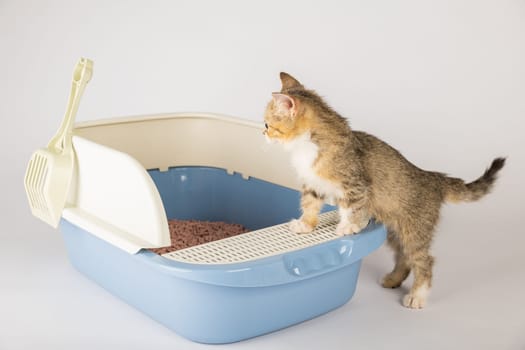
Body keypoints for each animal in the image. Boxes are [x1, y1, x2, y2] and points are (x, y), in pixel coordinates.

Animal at [264, 72, 506, 308]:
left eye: (267, 124)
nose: (264, 133)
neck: (308, 144)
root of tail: (432, 177)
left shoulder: (356, 185)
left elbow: (351, 208)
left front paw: (348, 227)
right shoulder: (313, 184)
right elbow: (310, 204)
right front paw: (305, 225)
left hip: (415, 231)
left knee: (423, 260)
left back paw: (418, 295)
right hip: (395, 230)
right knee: (404, 257)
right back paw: (393, 279)